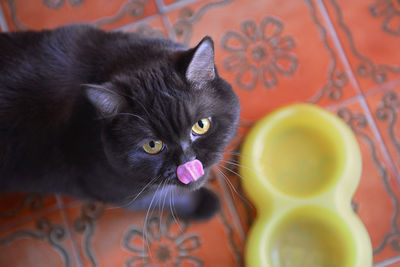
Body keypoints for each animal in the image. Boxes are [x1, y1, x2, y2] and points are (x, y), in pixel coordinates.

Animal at [0, 24, 239, 221]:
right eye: (152, 145)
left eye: (200, 125)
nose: (187, 162)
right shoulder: (121, 192)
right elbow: (171, 196)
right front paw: (202, 204)